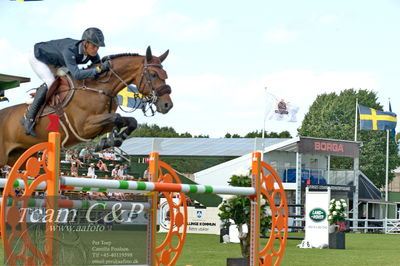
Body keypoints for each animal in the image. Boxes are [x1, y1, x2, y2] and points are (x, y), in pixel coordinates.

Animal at [0, 45, 172, 166]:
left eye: (166, 75)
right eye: (154, 75)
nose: (167, 105)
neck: (99, 88)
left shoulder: (101, 123)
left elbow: (129, 121)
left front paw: (111, 141)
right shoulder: (83, 127)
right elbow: (117, 117)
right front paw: (109, 141)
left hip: (17, 157)